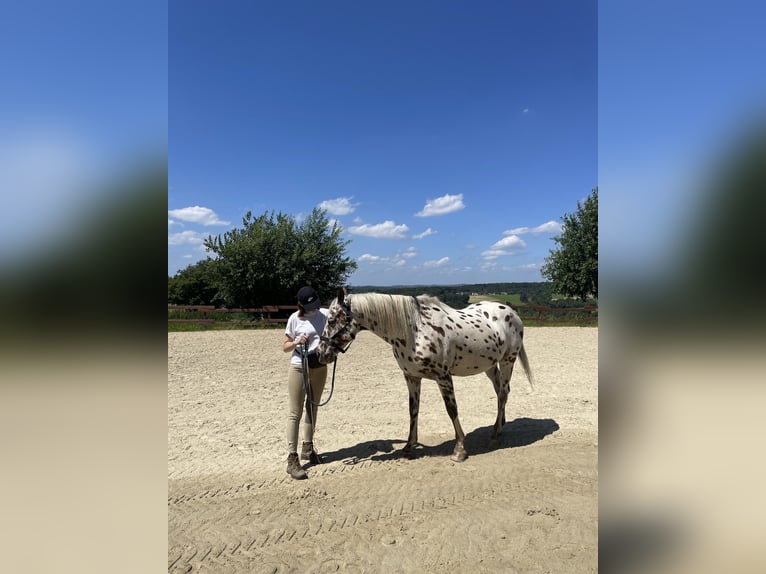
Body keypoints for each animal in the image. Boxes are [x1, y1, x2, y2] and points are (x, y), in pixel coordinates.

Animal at [316, 288, 536, 464]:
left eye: (332, 319)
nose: (320, 354)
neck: (413, 330)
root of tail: (511, 312)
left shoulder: (443, 376)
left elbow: (451, 410)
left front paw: (459, 450)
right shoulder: (411, 377)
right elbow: (413, 410)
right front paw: (409, 447)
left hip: (508, 360)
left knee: (503, 393)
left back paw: (495, 436)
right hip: (490, 365)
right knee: (500, 392)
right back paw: (499, 427)